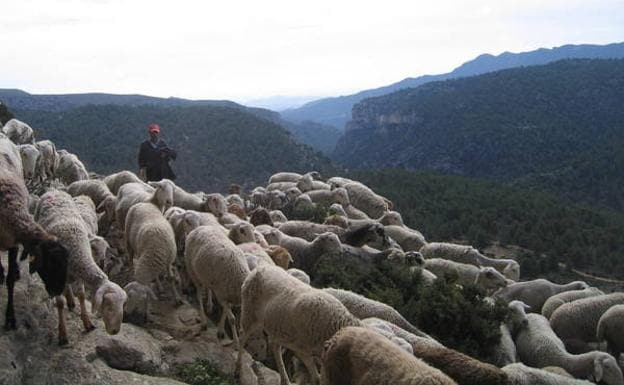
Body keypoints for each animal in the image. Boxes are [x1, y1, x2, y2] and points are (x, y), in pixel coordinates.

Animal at [35, 190, 128, 344]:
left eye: (122, 306)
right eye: (108, 307)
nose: (115, 331)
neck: (77, 251)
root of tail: (54, 190)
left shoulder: (77, 275)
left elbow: (82, 295)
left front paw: (87, 323)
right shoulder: (56, 274)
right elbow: (59, 303)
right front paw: (63, 334)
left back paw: (71, 300)